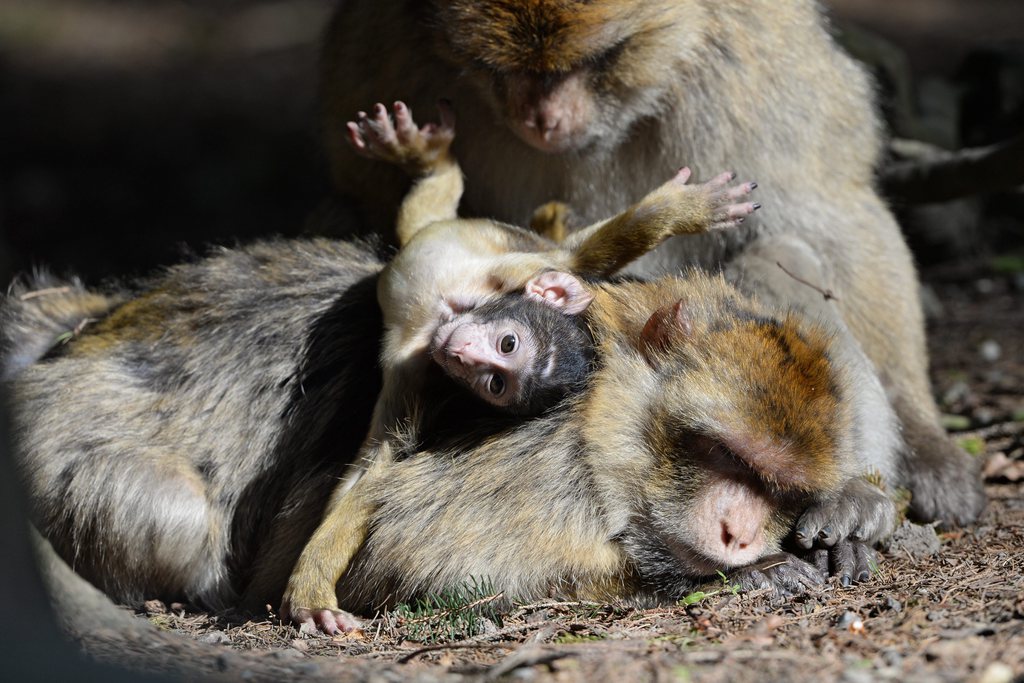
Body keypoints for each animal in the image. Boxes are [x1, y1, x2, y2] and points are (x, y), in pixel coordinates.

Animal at [280, 98, 761, 634]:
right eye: (507, 343)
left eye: (494, 382)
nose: (465, 356)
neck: (448, 314)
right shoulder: (510, 282)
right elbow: (579, 258)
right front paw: (676, 212)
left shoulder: (426, 370)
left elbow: (379, 465)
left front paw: (309, 586)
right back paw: (428, 159)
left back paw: (433, 165)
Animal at [321, 0, 983, 528]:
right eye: (493, 68)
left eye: (606, 57)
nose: (542, 120)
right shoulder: (382, 47)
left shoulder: (749, 55)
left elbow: (828, 210)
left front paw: (926, 444)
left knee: (782, 252)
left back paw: (849, 488)